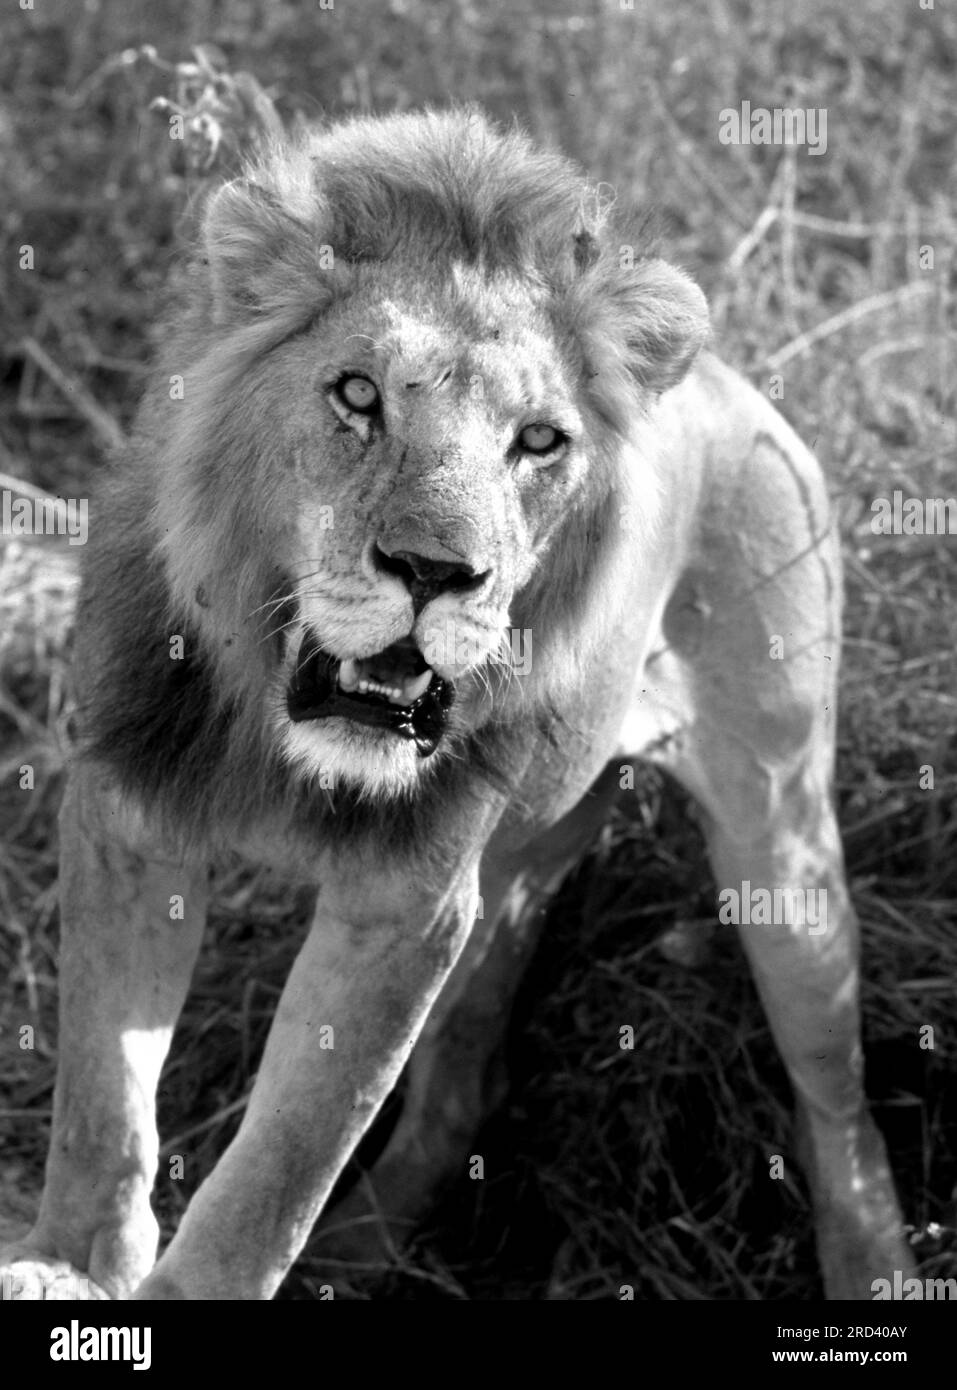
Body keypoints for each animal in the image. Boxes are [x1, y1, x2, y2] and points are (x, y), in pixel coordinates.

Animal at [0, 108, 912, 1301]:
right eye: (357, 395)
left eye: (539, 441)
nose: (437, 572)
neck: (282, 730)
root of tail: (732, 387)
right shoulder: (127, 809)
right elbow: (101, 1099)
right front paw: (67, 1263)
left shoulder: (408, 903)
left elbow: (279, 1170)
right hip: (520, 866)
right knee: (467, 1080)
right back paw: (361, 1249)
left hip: (786, 848)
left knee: (839, 1104)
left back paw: (875, 1264)